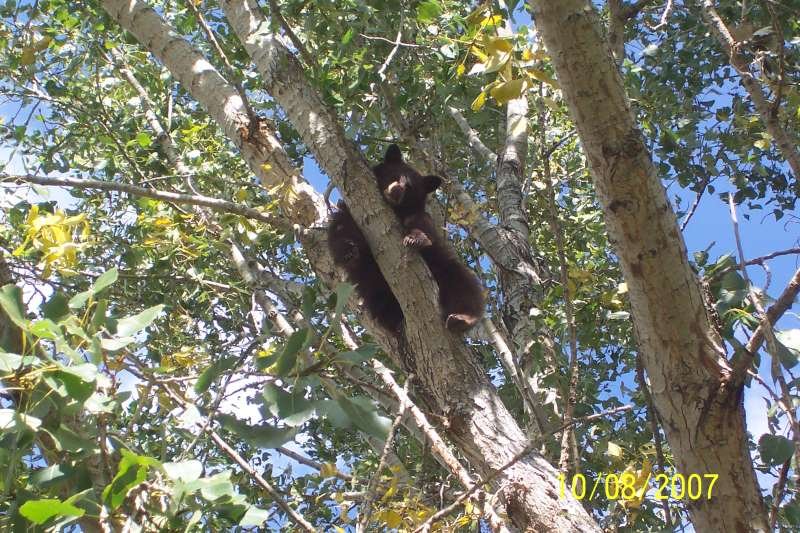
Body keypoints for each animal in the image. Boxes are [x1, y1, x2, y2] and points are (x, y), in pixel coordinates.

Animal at [326, 143, 488, 334]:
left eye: (410, 187)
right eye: (394, 176)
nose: (396, 190)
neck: (396, 210)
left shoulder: (420, 218)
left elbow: (422, 224)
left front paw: (416, 238)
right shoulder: (348, 215)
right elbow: (341, 231)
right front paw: (349, 250)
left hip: (444, 269)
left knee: (465, 288)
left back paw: (461, 319)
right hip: (374, 290)